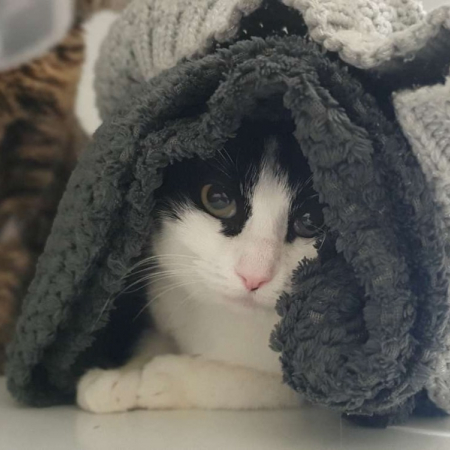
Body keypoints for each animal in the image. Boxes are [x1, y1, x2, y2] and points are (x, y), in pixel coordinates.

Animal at [77, 121, 325, 413]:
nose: (254, 276)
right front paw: (119, 377)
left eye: (311, 221)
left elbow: (256, 384)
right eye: (217, 199)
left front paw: (163, 377)